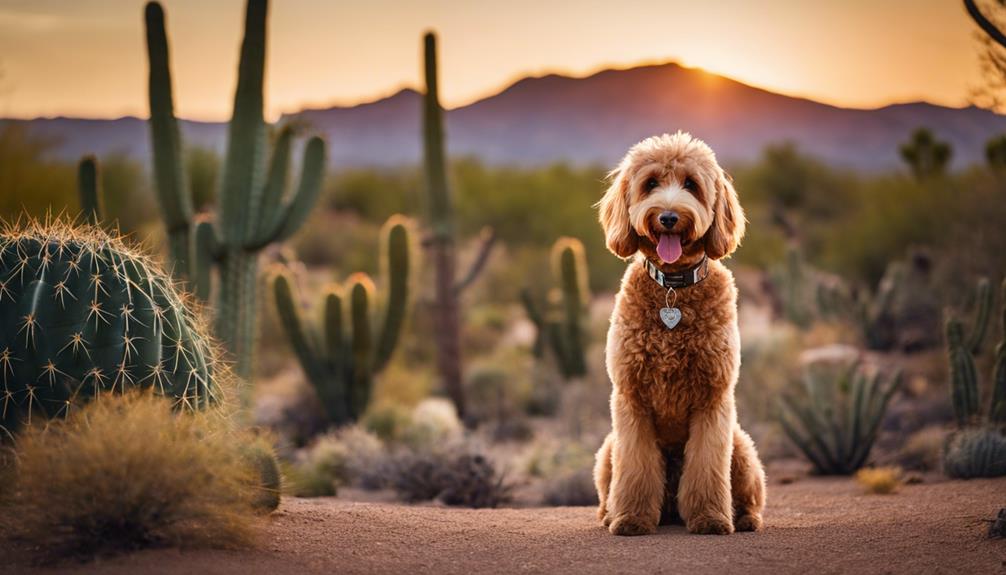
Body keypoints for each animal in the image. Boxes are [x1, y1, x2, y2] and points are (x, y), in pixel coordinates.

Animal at [591, 132, 764, 538]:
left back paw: (745, 518)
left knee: (749, 493)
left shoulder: (713, 401)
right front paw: (631, 519)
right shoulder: (631, 399)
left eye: (691, 185)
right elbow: (635, 470)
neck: (673, 286)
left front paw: (711, 519)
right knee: (609, 488)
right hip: (608, 450)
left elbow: (707, 469)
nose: (668, 216)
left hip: (741, 447)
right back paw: (609, 515)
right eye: (651, 183)